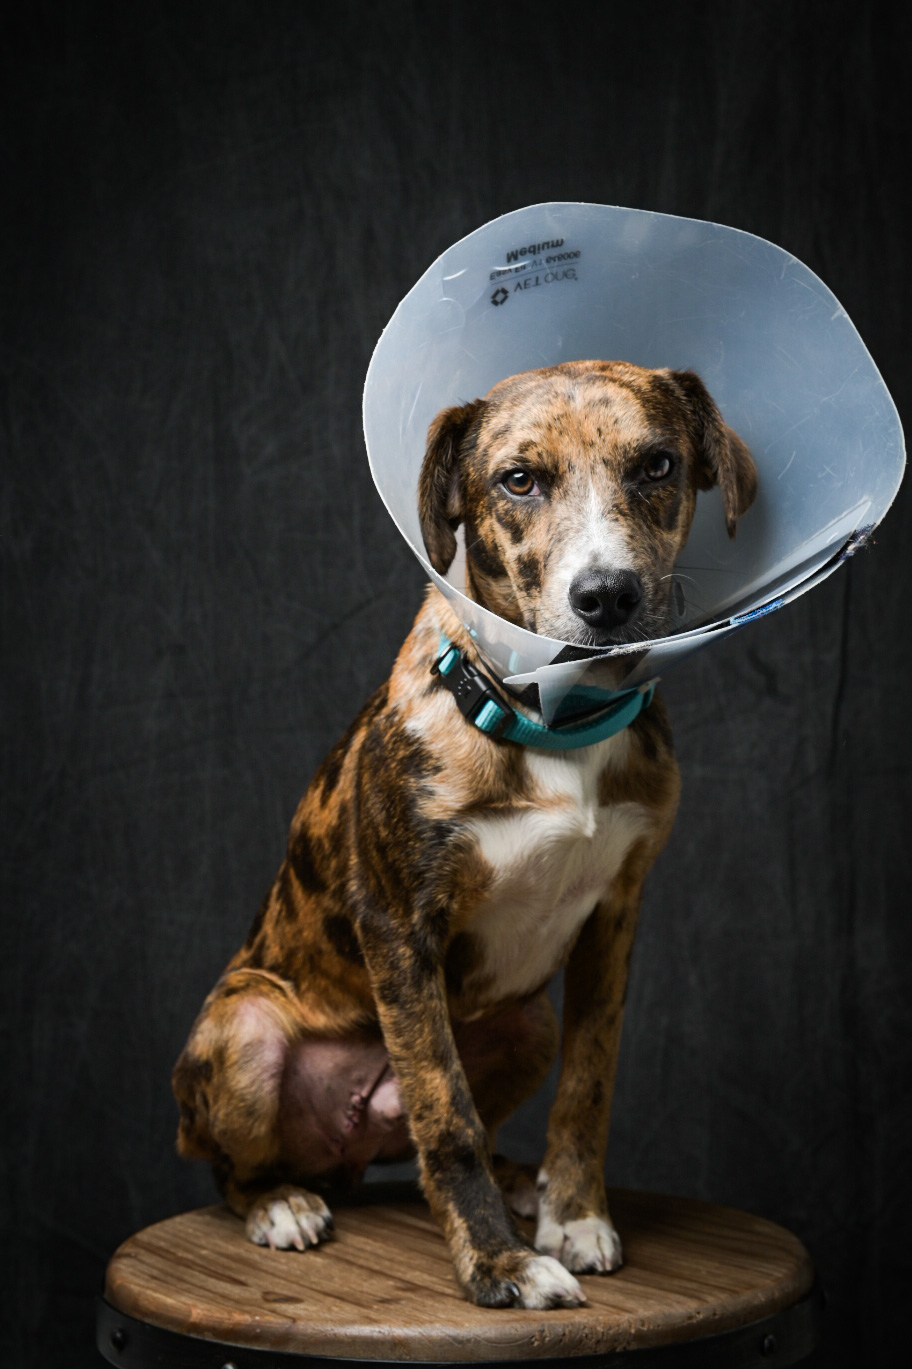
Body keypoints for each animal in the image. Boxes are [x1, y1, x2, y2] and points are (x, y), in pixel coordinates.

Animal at [173, 358, 755, 1308]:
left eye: (657, 465)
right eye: (518, 479)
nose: (606, 596)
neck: (555, 725)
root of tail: (349, 1143)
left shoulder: (616, 914)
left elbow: (589, 1079)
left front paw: (575, 1213)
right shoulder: (400, 926)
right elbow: (445, 1116)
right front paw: (500, 1265)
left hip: (525, 1024)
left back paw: (522, 1181)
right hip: (247, 1032)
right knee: (242, 1164)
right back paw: (280, 1203)